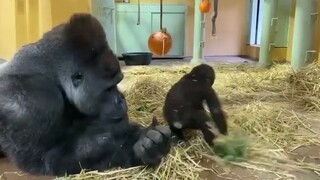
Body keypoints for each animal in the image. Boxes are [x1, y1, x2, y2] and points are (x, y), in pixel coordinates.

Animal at [0, 13, 172, 176]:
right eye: (109, 88)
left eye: (118, 82)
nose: (121, 100)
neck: (53, 74)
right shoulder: (29, 103)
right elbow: (46, 159)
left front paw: (146, 146)